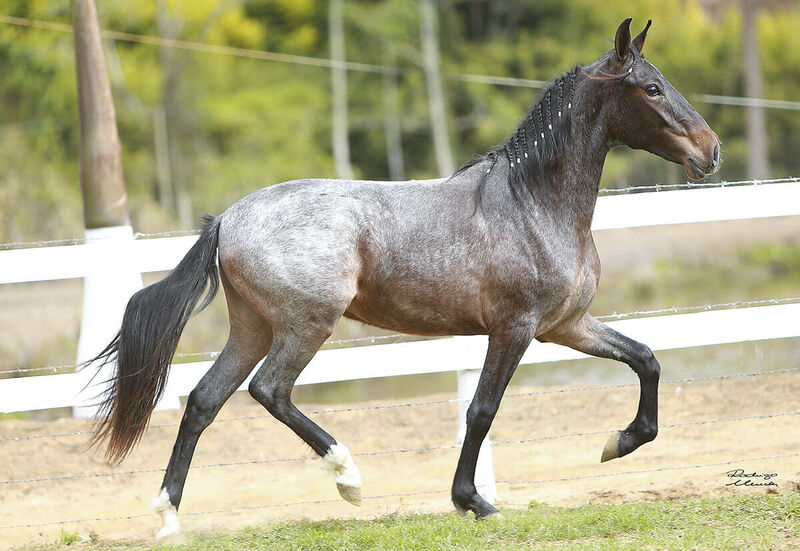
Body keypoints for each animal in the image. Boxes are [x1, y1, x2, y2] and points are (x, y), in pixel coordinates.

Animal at [86, 18, 720, 540]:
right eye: (651, 88)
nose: (711, 151)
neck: (532, 204)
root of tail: (229, 219)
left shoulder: (567, 326)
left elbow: (646, 359)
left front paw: (618, 443)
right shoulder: (514, 329)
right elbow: (482, 410)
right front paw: (472, 502)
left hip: (252, 328)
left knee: (204, 400)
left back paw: (169, 517)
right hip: (306, 324)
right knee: (269, 391)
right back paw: (348, 478)